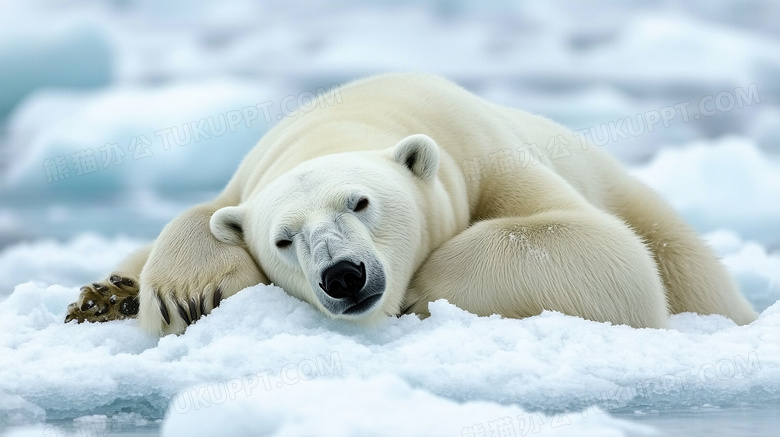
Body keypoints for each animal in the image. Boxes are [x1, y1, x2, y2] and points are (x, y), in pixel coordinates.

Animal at [64, 73, 760, 336]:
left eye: (361, 201)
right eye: (284, 239)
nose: (343, 275)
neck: (359, 114)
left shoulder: (483, 156)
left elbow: (606, 254)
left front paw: (424, 290)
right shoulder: (246, 180)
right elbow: (200, 215)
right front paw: (181, 293)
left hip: (652, 217)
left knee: (673, 257)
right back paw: (105, 295)